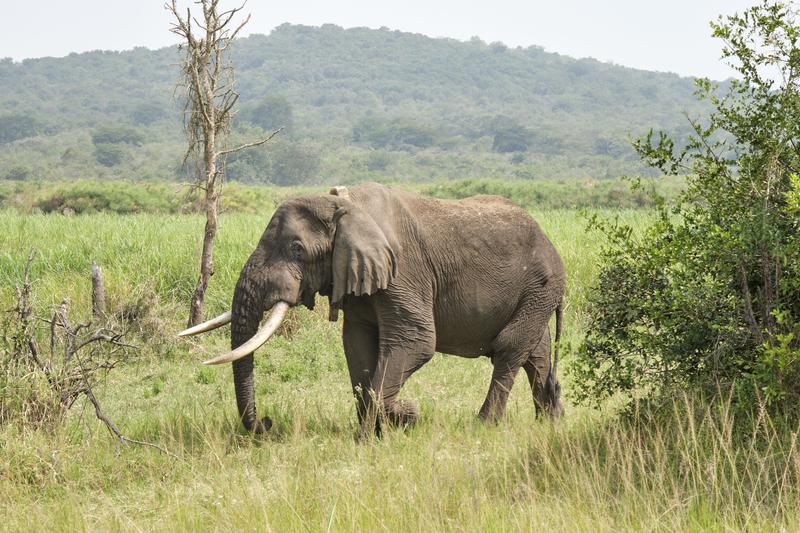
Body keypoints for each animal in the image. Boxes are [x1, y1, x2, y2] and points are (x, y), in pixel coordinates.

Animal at [180, 181, 568, 434]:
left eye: (296, 249)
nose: (266, 422)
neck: (342, 206)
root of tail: (550, 241)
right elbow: (357, 345)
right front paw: (372, 435)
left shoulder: (403, 271)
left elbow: (415, 342)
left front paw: (406, 415)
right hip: (535, 295)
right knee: (536, 355)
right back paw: (552, 424)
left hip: (540, 287)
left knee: (509, 349)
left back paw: (484, 426)